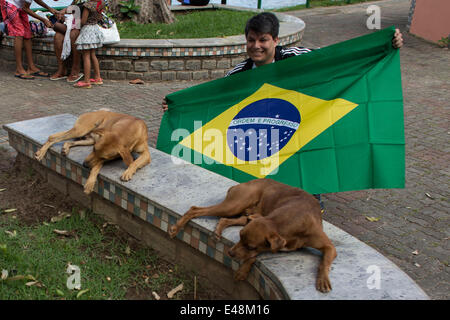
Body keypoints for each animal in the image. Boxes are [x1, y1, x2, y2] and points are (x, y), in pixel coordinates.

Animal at [170, 179, 338, 294]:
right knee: (195, 209)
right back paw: (176, 227)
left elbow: (324, 261)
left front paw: (323, 280)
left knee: (223, 219)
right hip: (235, 205)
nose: (229, 253)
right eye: (239, 237)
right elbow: (253, 256)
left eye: (250, 245)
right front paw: (243, 270)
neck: (288, 219)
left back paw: (217, 231)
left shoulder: (329, 246)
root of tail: (242, 183)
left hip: (245, 214)